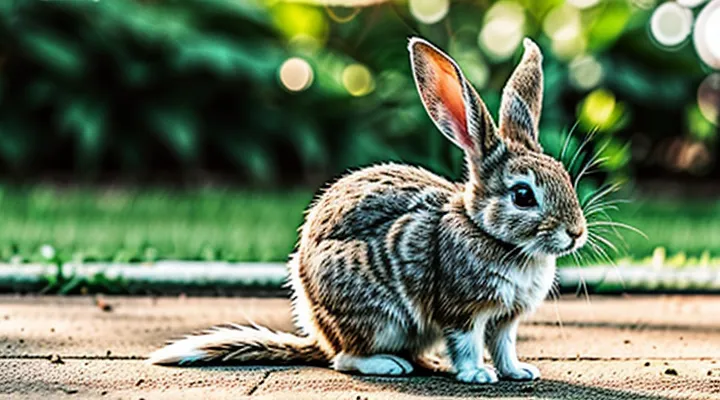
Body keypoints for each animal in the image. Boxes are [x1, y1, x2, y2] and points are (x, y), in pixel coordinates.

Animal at [147, 36, 588, 384]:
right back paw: (391, 365)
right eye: (523, 195)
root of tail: (320, 338)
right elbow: (466, 344)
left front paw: (518, 372)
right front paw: (478, 375)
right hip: (377, 316)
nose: (576, 232)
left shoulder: (506, 320)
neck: (486, 231)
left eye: (564, 177)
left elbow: (504, 346)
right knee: (345, 359)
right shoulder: (461, 311)